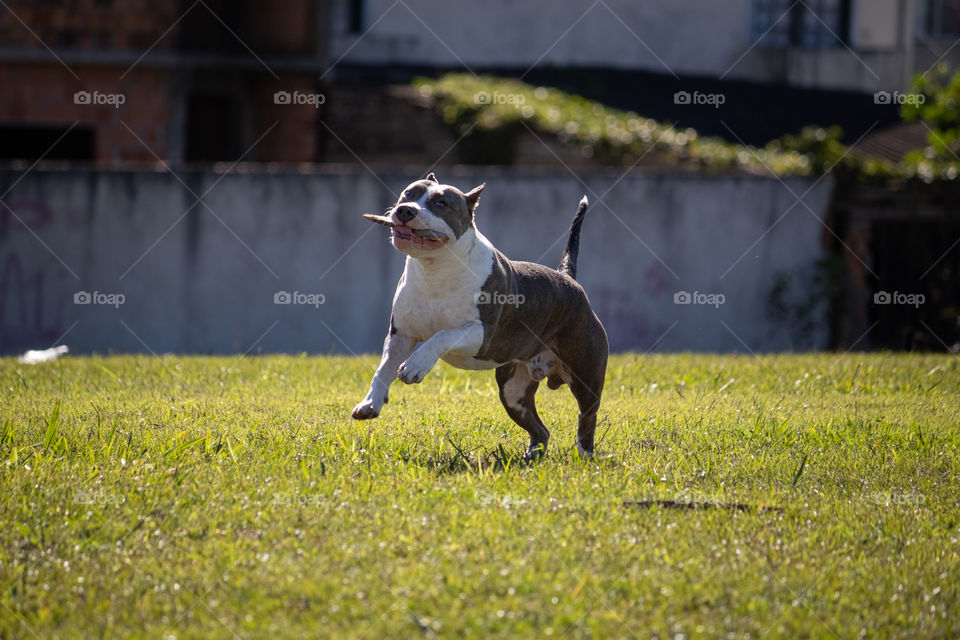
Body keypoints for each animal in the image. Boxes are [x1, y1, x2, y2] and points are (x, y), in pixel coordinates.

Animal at [352, 172, 608, 458]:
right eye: (408, 193)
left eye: (441, 203)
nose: (405, 210)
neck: (436, 269)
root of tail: (568, 279)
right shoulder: (401, 335)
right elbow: (382, 369)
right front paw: (370, 403)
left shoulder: (483, 333)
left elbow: (442, 335)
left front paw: (416, 365)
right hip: (513, 392)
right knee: (540, 429)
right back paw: (532, 455)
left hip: (586, 377)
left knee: (587, 416)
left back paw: (584, 455)